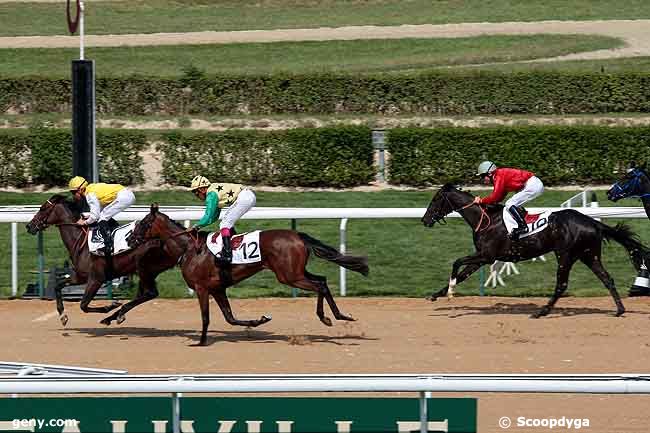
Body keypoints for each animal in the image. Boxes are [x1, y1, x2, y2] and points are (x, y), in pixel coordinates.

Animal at [25, 195, 178, 324]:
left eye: (43, 208)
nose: (29, 226)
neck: (81, 242)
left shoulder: (96, 278)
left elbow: (83, 305)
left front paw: (109, 306)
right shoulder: (81, 276)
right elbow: (58, 286)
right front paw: (63, 316)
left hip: (145, 269)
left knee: (150, 293)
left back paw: (116, 314)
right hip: (145, 271)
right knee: (144, 294)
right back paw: (116, 315)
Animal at [129, 204, 368, 346]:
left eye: (144, 223)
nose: (130, 238)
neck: (189, 249)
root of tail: (298, 235)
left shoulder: (202, 288)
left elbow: (206, 317)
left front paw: (201, 341)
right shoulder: (217, 288)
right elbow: (230, 317)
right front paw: (259, 320)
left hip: (289, 276)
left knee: (319, 285)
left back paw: (331, 317)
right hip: (296, 272)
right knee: (322, 281)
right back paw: (335, 316)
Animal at [418, 183, 644, 318]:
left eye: (436, 199)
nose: (425, 220)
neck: (486, 220)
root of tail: (593, 222)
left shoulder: (487, 255)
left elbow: (456, 262)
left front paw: (450, 291)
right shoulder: (482, 258)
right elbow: (463, 273)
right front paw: (436, 294)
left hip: (565, 254)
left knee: (562, 284)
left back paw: (542, 311)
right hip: (589, 255)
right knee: (607, 278)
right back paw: (619, 310)